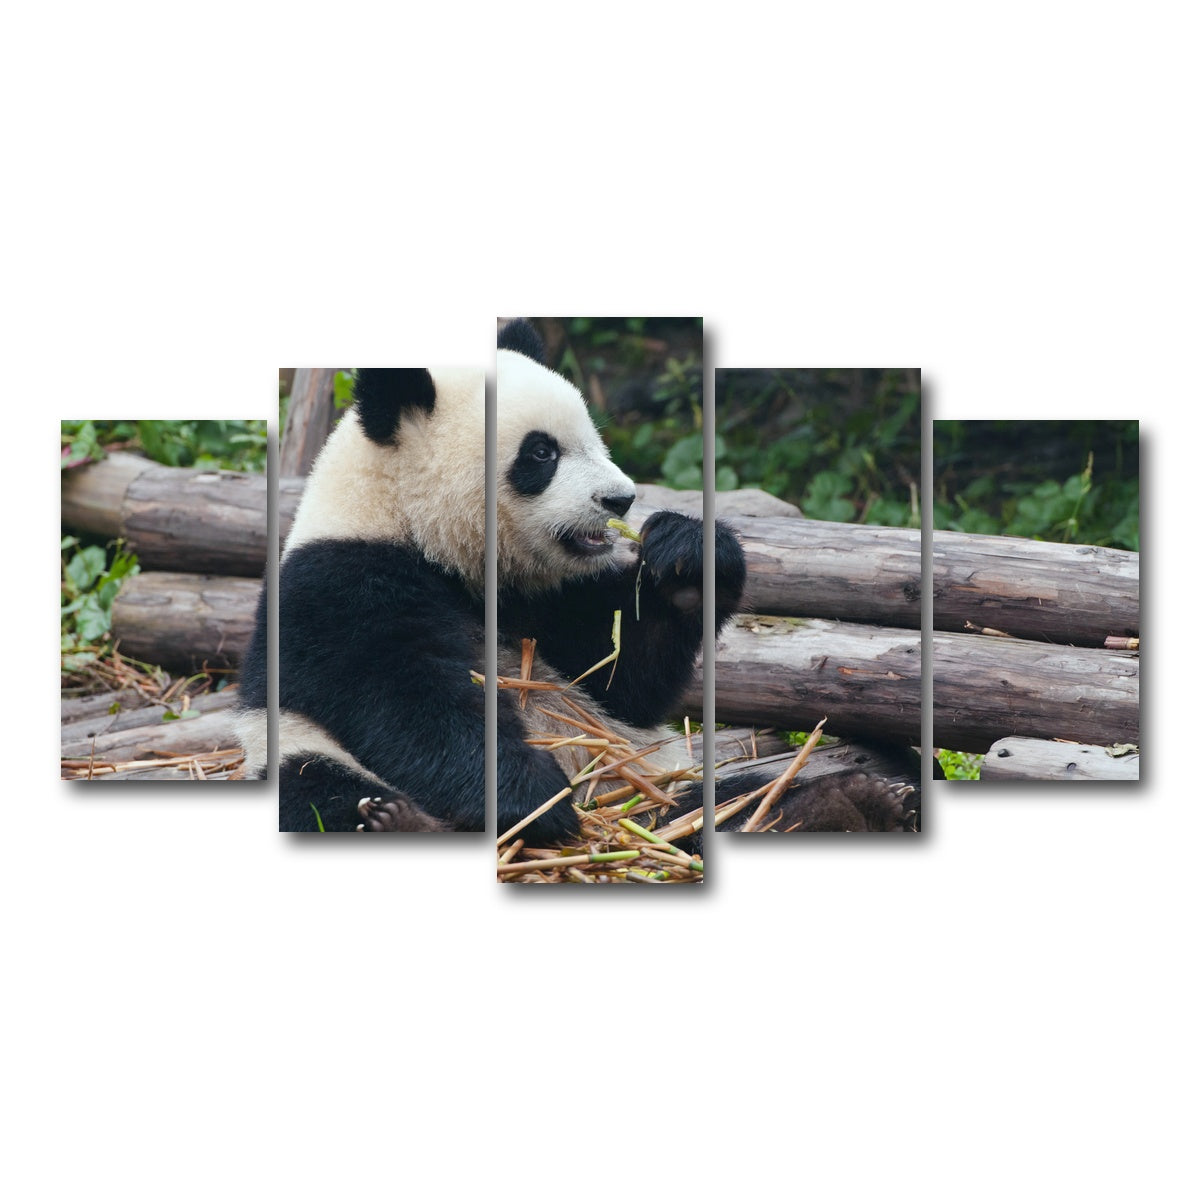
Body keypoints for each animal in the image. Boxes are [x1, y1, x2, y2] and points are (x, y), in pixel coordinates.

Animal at [235, 327, 748, 839]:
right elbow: (405, 699)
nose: (620, 499)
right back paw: (398, 819)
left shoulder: (545, 594)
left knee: (723, 798)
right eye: (541, 452)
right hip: (289, 746)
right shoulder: (339, 585)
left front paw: (687, 559)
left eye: (595, 439)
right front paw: (536, 795)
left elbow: (622, 678)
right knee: (312, 784)